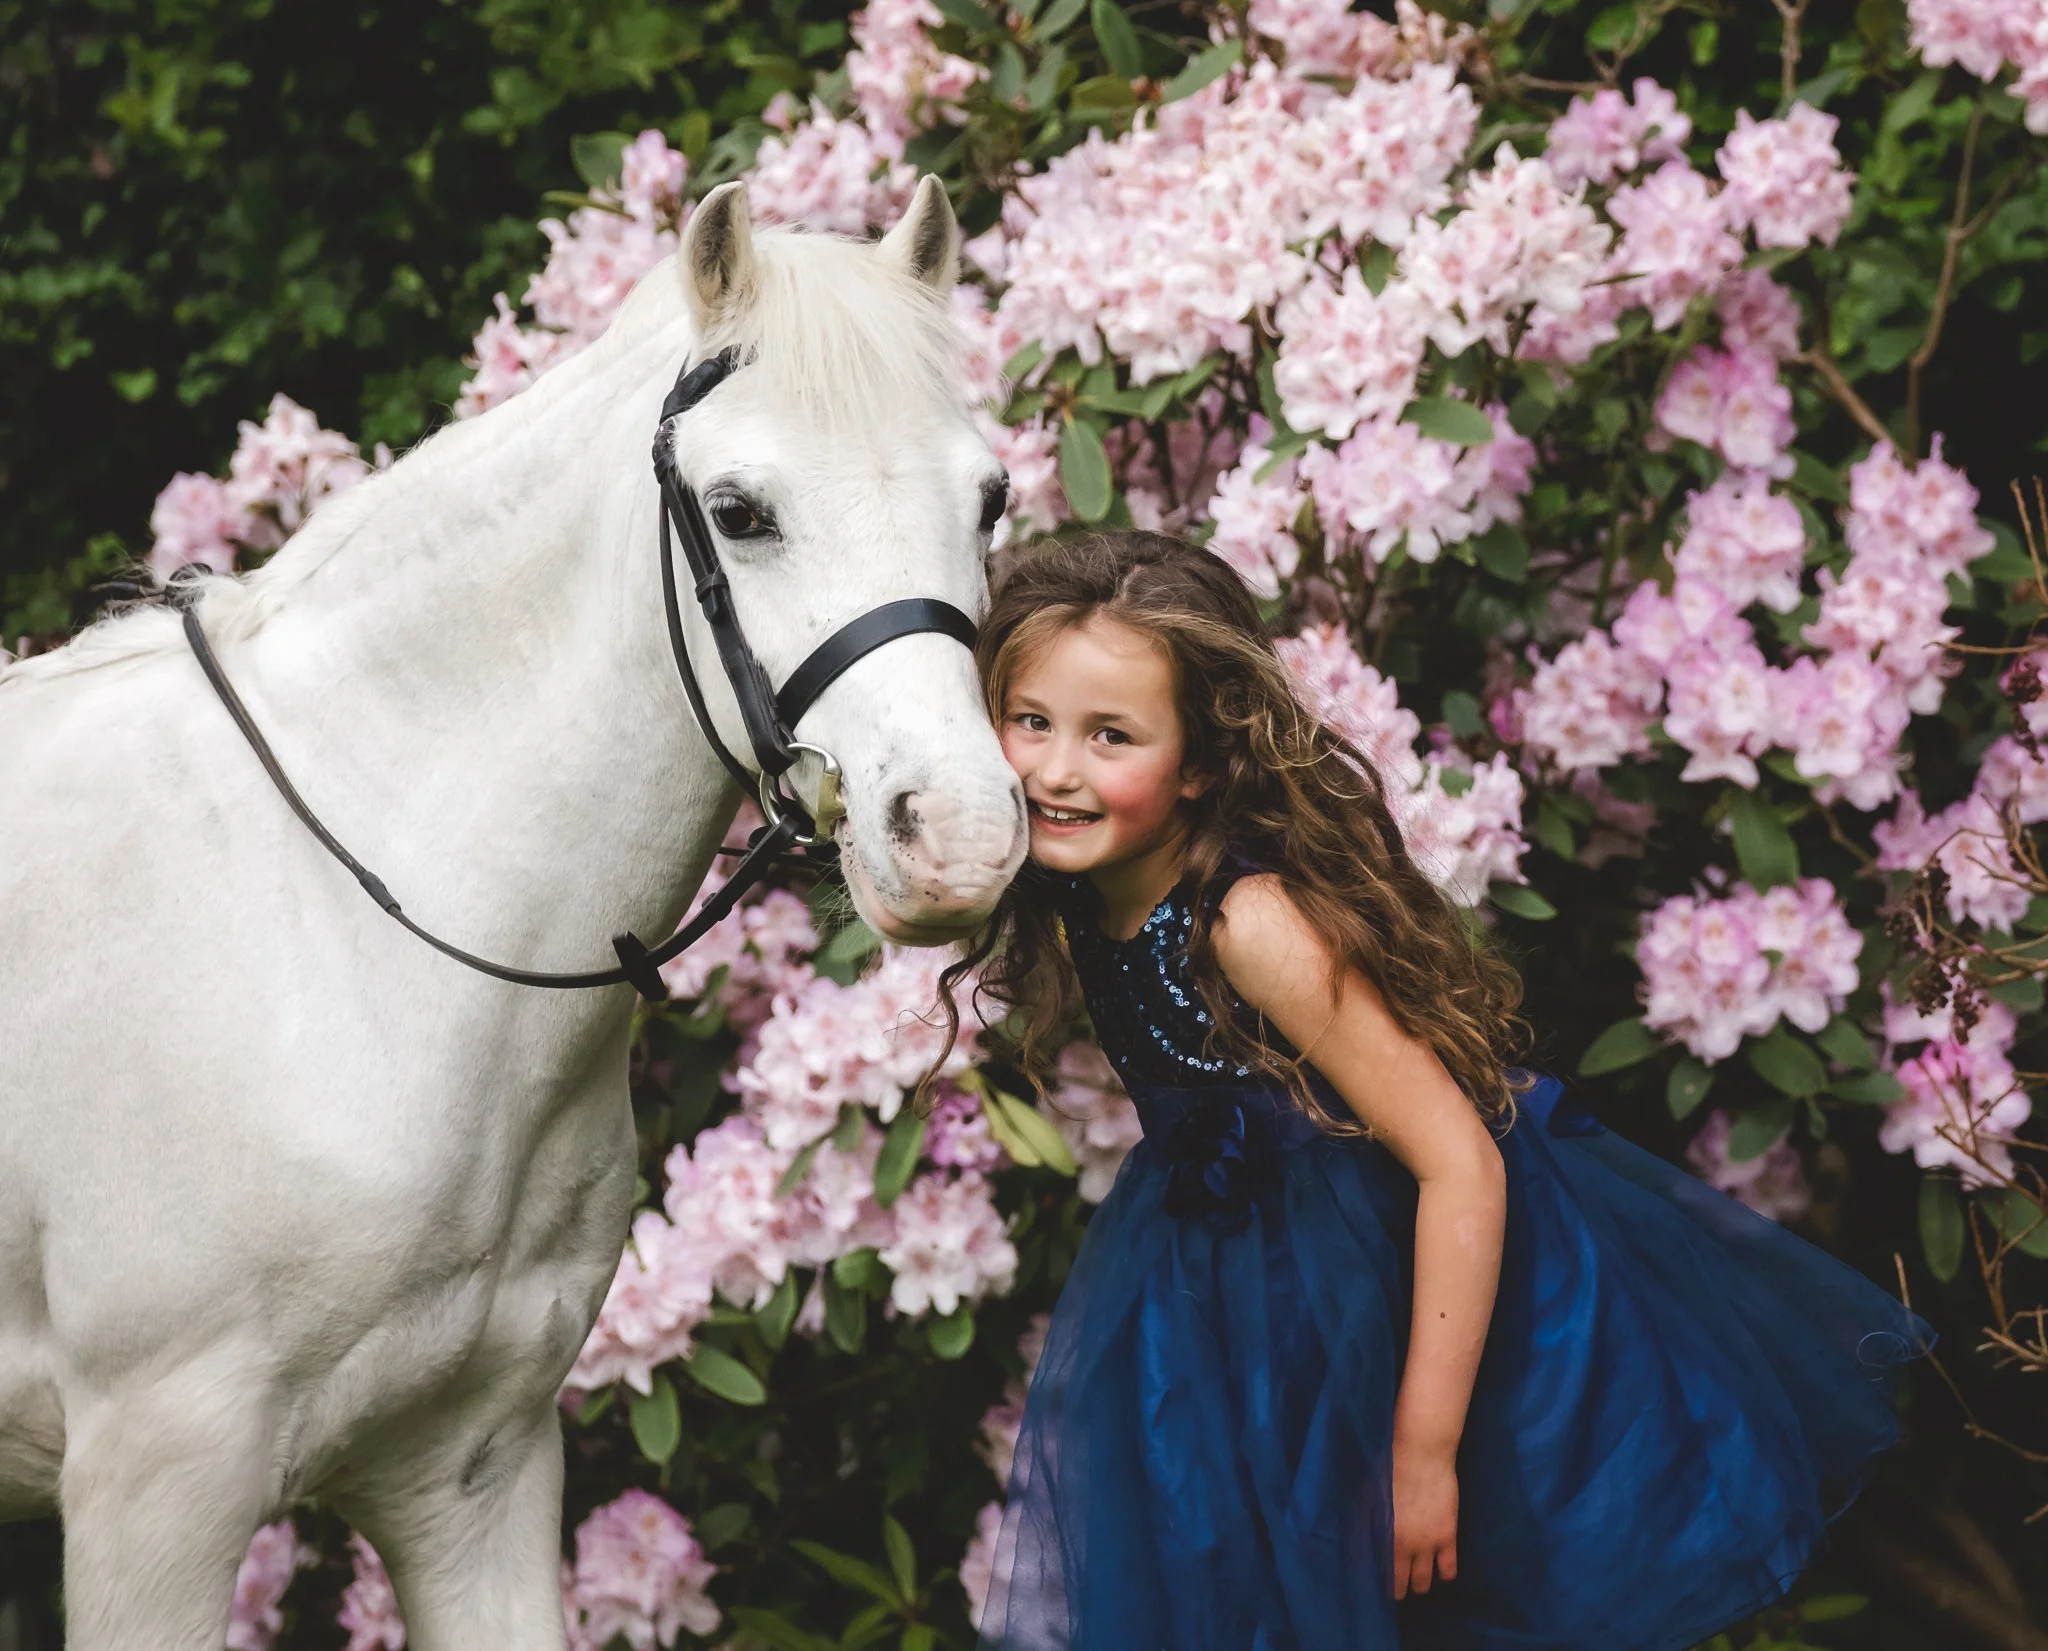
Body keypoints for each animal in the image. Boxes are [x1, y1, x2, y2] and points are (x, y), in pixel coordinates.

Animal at [0, 175, 1026, 1650]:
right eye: (739, 509)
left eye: (988, 497)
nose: (959, 835)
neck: (343, 948)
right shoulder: (157, 1497)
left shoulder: (471, 1475)